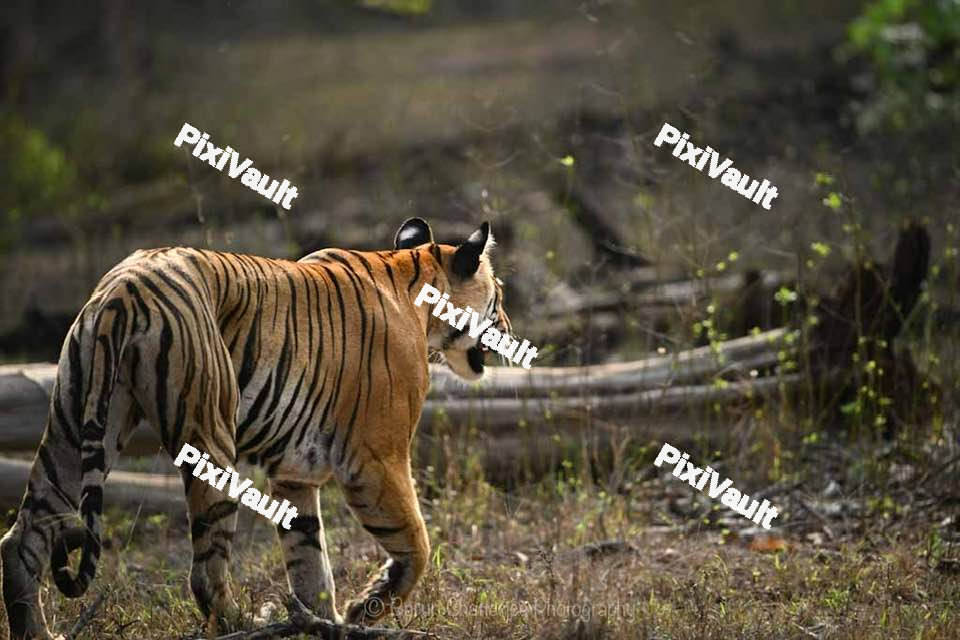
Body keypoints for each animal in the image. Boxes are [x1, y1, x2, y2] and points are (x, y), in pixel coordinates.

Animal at [0, 217, 511, 639]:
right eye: (500, 296)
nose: (508, 327)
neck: (415, 284)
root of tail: (123, 290)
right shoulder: (376, 459)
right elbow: (416, 543)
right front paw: (363, 608)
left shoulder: (296, 472)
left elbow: (310, 561)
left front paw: (325, 623)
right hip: (210, 437)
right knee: (205, 572)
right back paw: (243, 624)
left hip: (75, 427)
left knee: (22, 536)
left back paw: (37, 634)